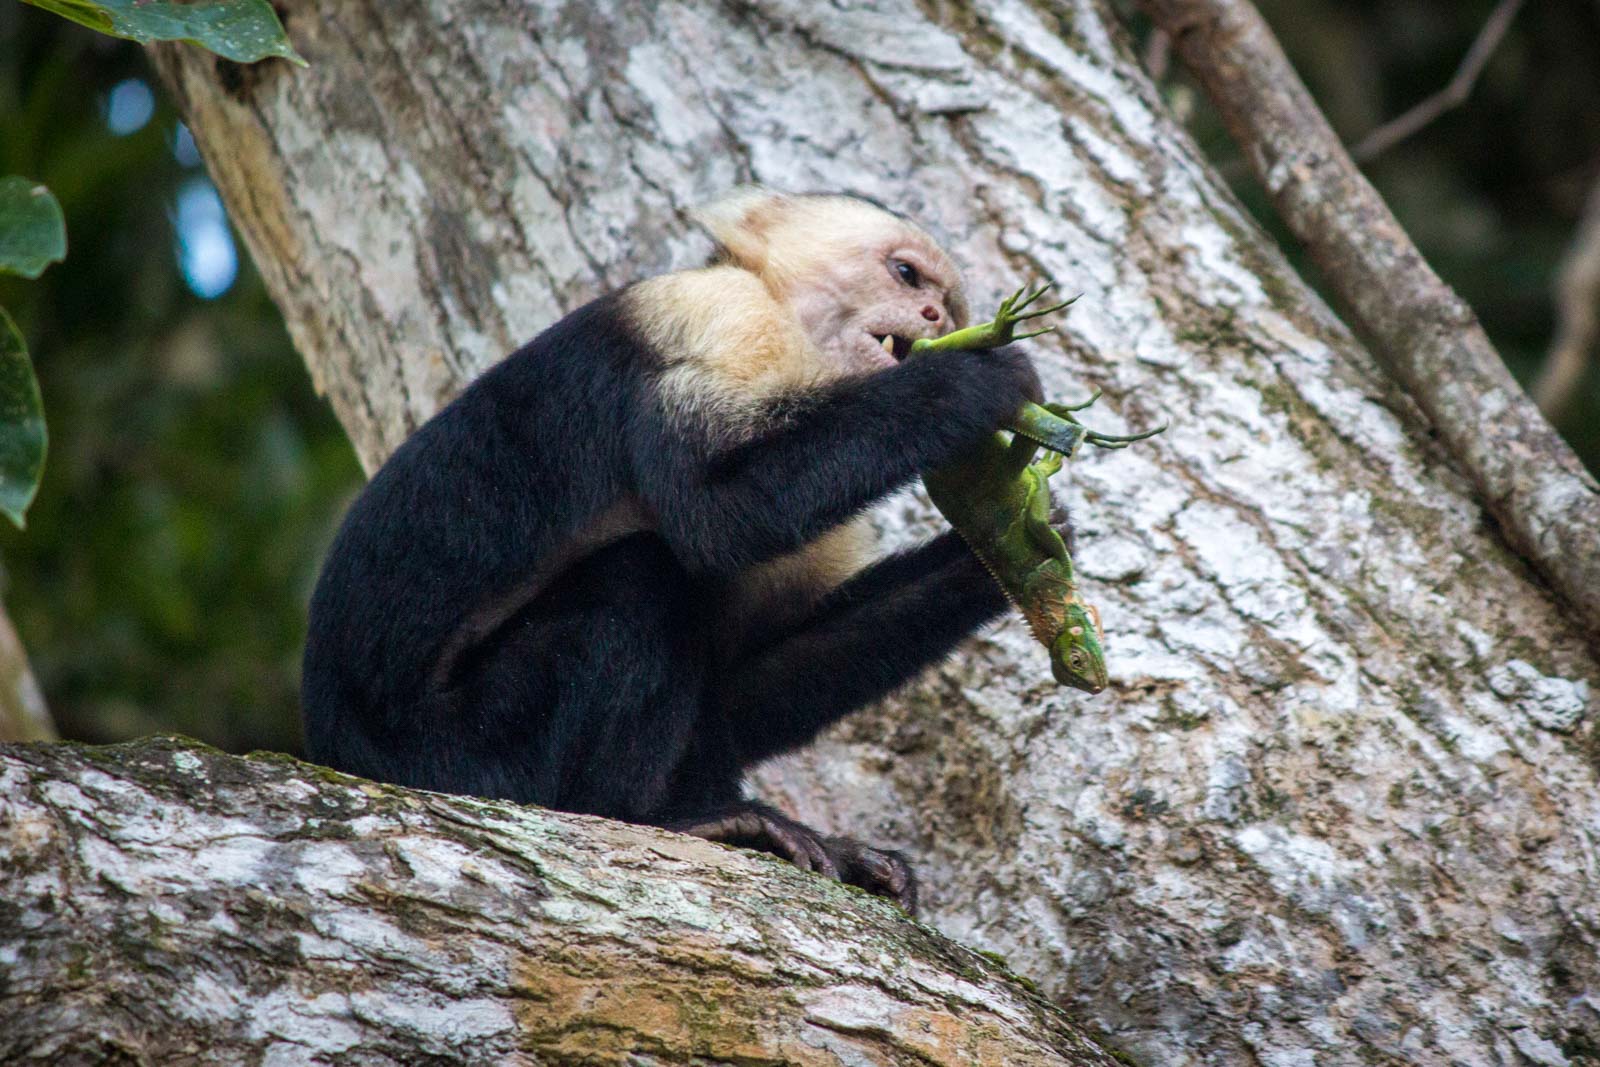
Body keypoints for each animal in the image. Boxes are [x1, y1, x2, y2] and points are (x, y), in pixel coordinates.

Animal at [300, 189, 1042, 912]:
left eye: (949, 306)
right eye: (906, 274)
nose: (934, 316)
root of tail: (341, 748)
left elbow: (747, 684)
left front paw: (1003, 554)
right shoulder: (727, 319)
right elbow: (713, 514)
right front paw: (966, 382)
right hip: (453, 750)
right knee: (640, 576)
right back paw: (647, 816)